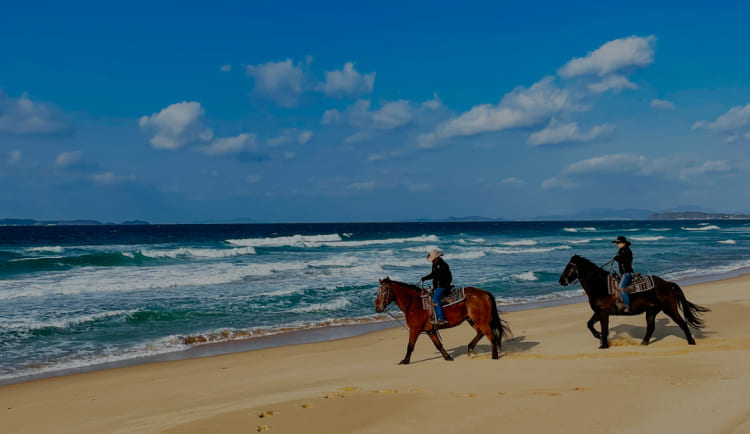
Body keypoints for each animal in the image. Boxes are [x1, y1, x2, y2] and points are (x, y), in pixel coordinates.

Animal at [375, 277, 510, 364]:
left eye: (384, 290)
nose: (377, 308)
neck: (413, 302)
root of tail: (485, 293)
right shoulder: (430, 330)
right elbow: (438, 345)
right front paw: (448, 357)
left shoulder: (415, 329)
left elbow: (410, 346)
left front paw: (405, 361)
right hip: (473, 320)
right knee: (481, 333)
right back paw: (470, 348)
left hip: (481, 321)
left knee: (491, 336)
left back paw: (494, 357)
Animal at [559, 254, 710, 349]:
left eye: (569, 267)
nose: (561, 281)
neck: (600, 285)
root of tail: (667, 284)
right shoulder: (599, 312)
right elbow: (589, 324)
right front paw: (599, 337)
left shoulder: (604, 313)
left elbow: (604, 329)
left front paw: (604, 345)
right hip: (651, 311)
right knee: (651, 328)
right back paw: (643, 343)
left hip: (669, 309)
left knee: (682, 323)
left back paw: (691, 342)